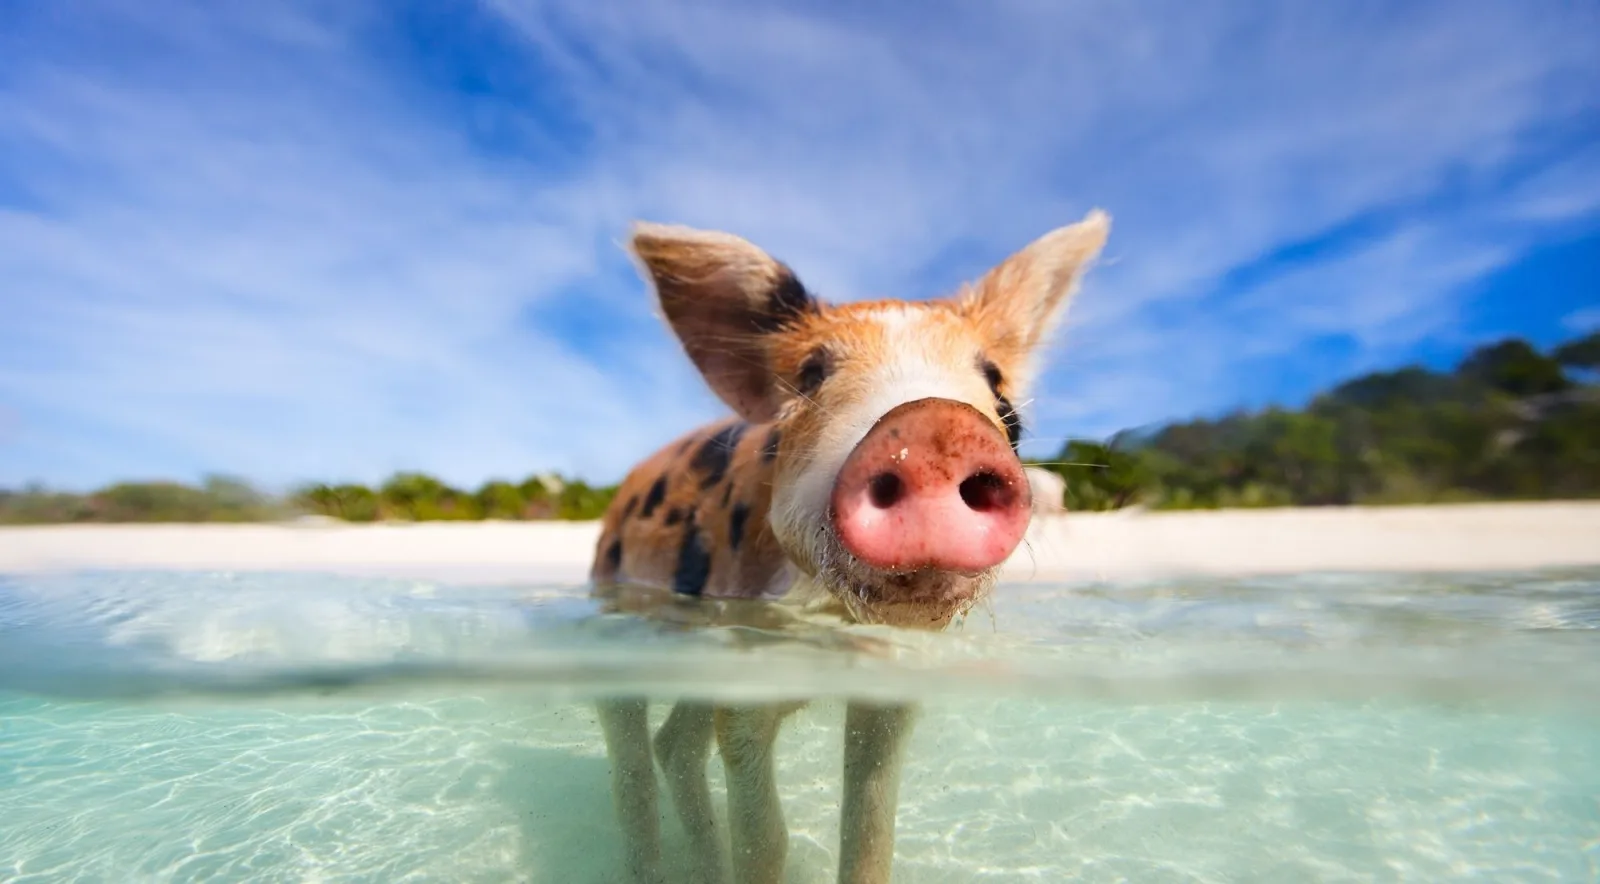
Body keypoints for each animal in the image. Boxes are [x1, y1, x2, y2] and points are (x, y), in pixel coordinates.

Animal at [590, 210, 1110, 883]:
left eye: (996, 382)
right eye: (812, 373)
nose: (934, 425)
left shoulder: (890, 683)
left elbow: (870, 832)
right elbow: (767, 839)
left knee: (674, 745)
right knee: (632, 753)